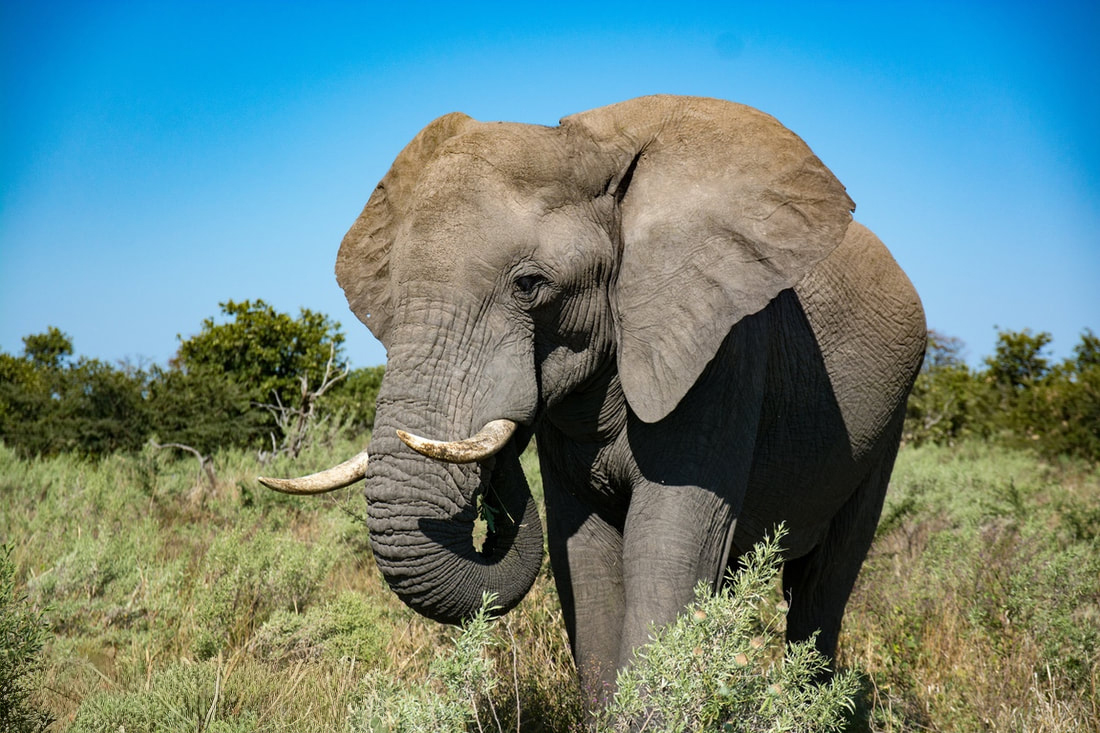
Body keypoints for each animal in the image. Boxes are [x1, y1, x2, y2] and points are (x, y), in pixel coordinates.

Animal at [260, 95, 926, 696]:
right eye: (390, 291)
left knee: (822, 588)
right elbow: (585, 564)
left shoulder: (725, 354)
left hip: (887, 424)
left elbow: (670, 557)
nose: (493, 483)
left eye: (530, 285)